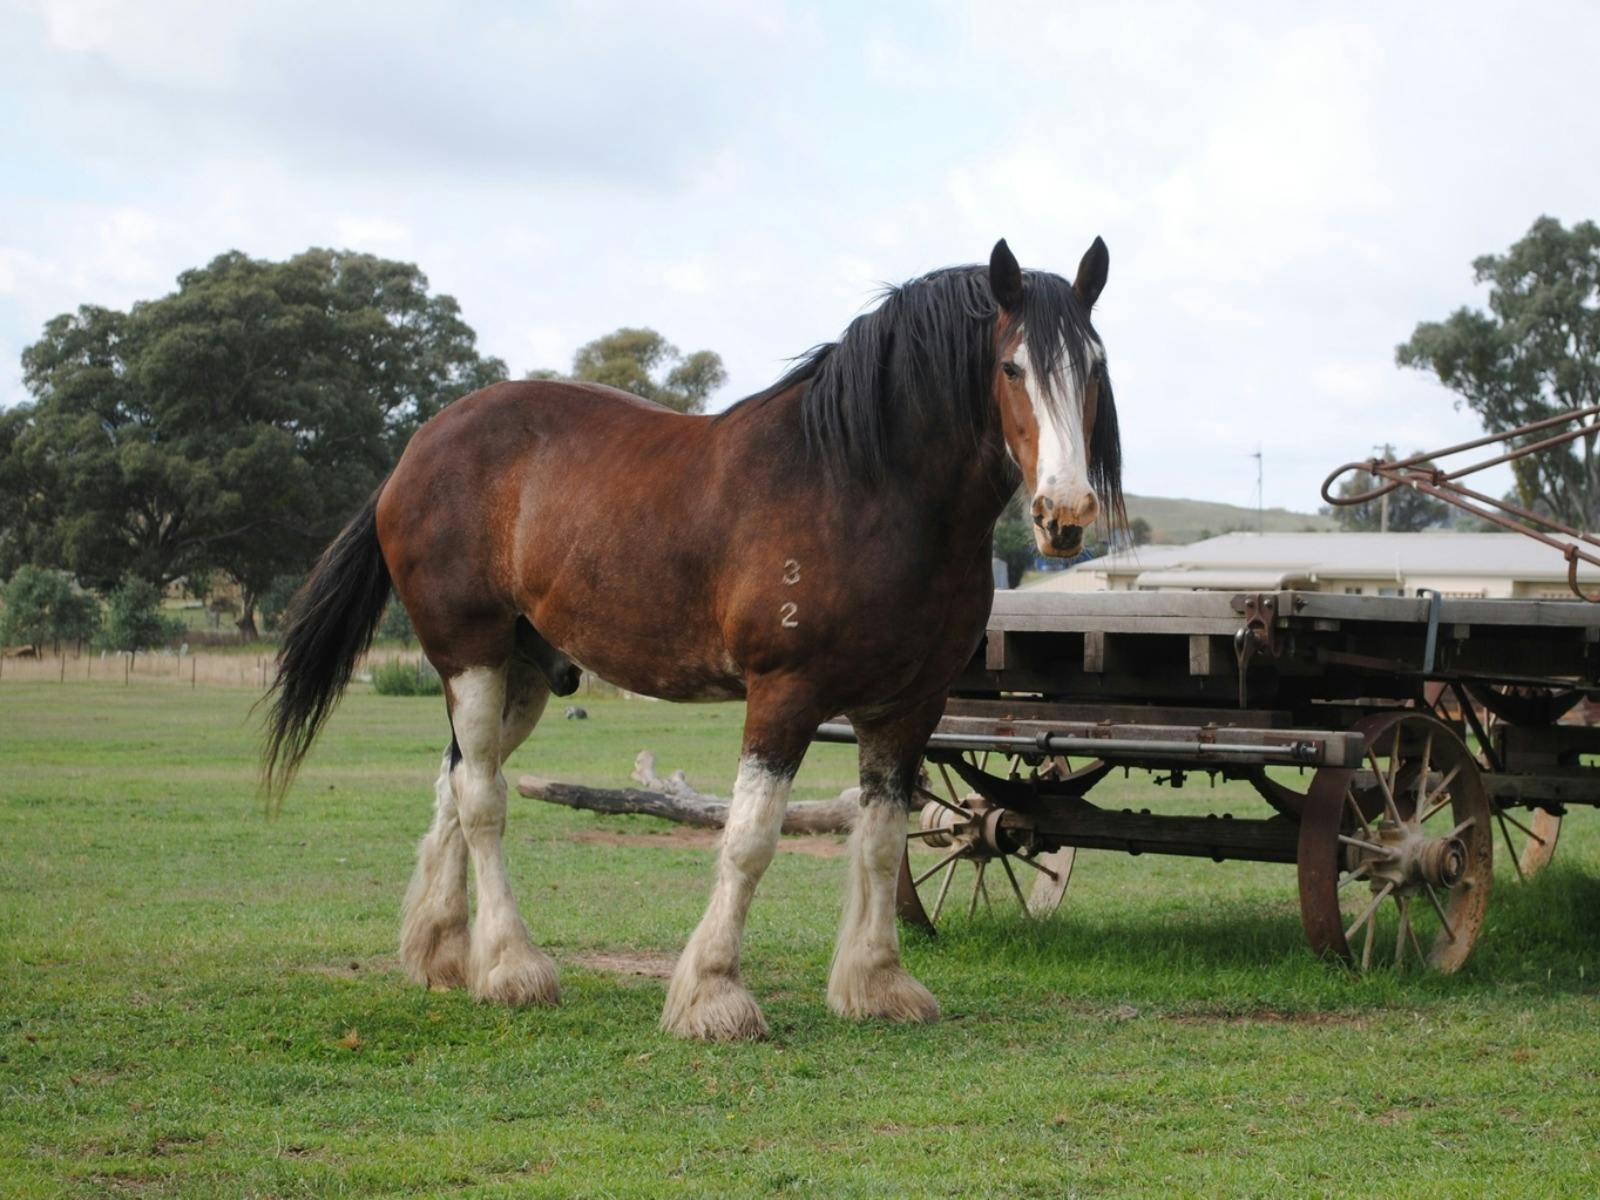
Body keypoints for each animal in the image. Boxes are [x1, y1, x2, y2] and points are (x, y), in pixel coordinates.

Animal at [262, 237, 1123, 1040]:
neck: (864, 489)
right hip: (468, 654)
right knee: (482, 801)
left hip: (523, 673)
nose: (1065, 511)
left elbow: (881, 840)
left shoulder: (910, 707)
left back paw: (442, 955)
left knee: (454, 782)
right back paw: (511, 966)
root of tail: (416, 449)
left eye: (1095, 365)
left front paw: (878, 984)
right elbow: (749, 840)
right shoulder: (785, 695)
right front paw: (713, 996)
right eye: (1011, 367)